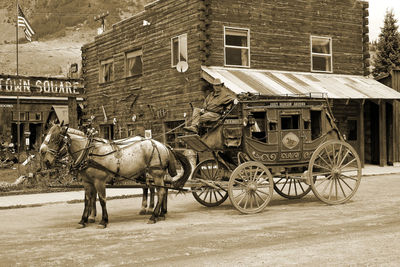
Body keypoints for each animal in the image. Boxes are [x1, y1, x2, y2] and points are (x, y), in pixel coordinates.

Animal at [40, 124, 191, 229]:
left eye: (55, 139)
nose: (44, 158)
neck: (89, 153)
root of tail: (163, 145)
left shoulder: (99, 181)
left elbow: (102, 200)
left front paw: (103, 221)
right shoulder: (88, 182)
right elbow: (87, 200)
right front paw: (83, 220)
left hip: (156, 173)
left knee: (160, 191)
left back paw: (154, 216)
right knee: (158, 189)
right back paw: (159, 213)